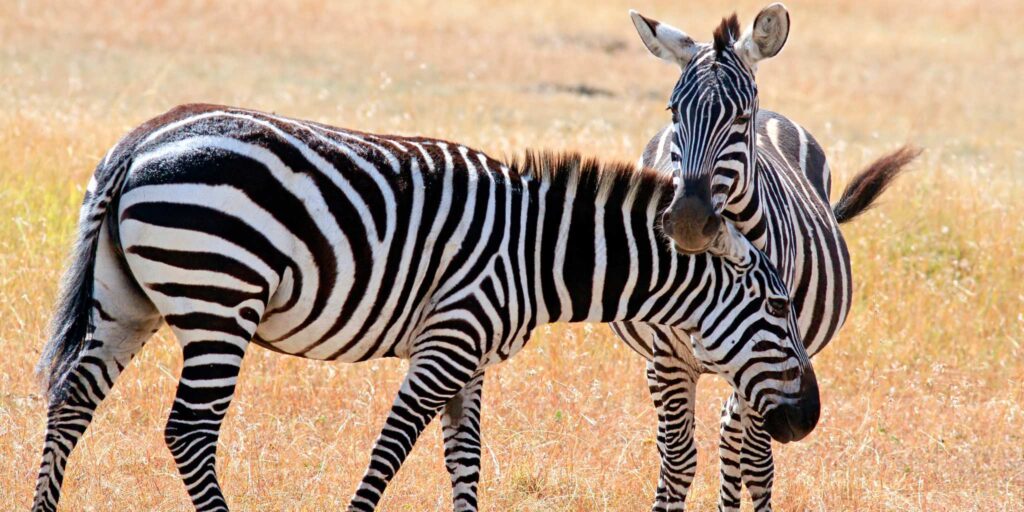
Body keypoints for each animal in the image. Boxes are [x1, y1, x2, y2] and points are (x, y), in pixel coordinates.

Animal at [31, 104, 820, 512]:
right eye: (778, 305)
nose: (808, 419)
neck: (537, 254)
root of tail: (140, 141)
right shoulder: (449, 339)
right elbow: (390, 448)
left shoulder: (470, 357)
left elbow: (463, 459)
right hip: (219, 304)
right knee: (189, 431)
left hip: (125, 302)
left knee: (70, 404)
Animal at [615, 4, 920, 511]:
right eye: (674, 111)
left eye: (740, 117)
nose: (688, 221)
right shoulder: (668, 357)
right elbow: (676, 461)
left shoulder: (767, 358)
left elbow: (756, 463)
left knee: (735, 442)